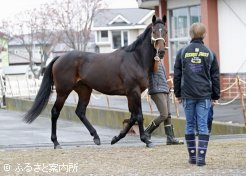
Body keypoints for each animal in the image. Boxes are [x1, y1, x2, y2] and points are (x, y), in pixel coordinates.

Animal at [23, 15, 167, 148]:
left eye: (165, 31)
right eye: (154, 31)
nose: (161, 52)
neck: (135, 59)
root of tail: (59, 58)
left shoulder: (131, 94)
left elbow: (132, 116)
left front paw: (116, 138)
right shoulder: (134, 92)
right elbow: (139, 116)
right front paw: (146, 140)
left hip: (84, 90)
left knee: (80, 112)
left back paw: (96, 137)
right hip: (63, 91)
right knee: (55, 112)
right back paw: (56, 142)